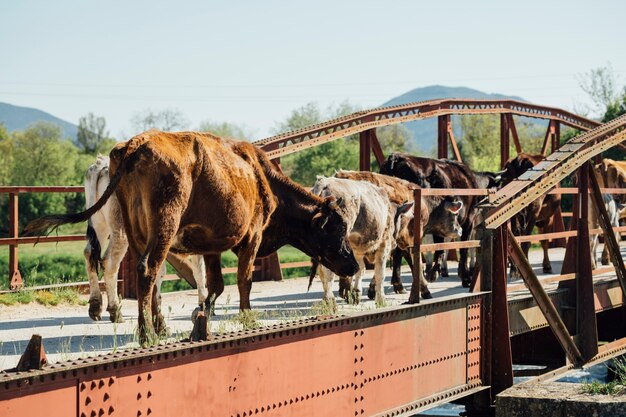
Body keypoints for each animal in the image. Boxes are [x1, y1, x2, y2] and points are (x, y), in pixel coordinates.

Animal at [80, 156, 206, 322]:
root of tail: (102, 165)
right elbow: (200, 271)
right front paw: (204, 305)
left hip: (99, 223)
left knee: (89, 254)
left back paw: (95, 307)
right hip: (120, 231)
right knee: (109, 262)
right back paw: (115, 310)